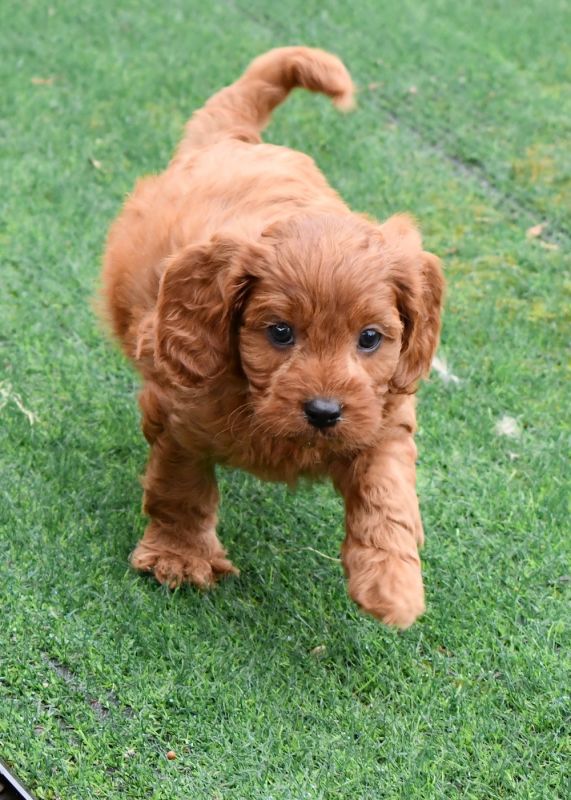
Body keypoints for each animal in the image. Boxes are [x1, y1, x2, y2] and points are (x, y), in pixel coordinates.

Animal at [101, 47, 444, 628]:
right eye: (280, 333)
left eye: (370, 338)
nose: (325, 412)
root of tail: (237, 139)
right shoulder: (178, 410)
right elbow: (181, 486)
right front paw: (180, 557)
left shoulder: (383, 413)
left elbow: (387, 492)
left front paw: (392, 583)